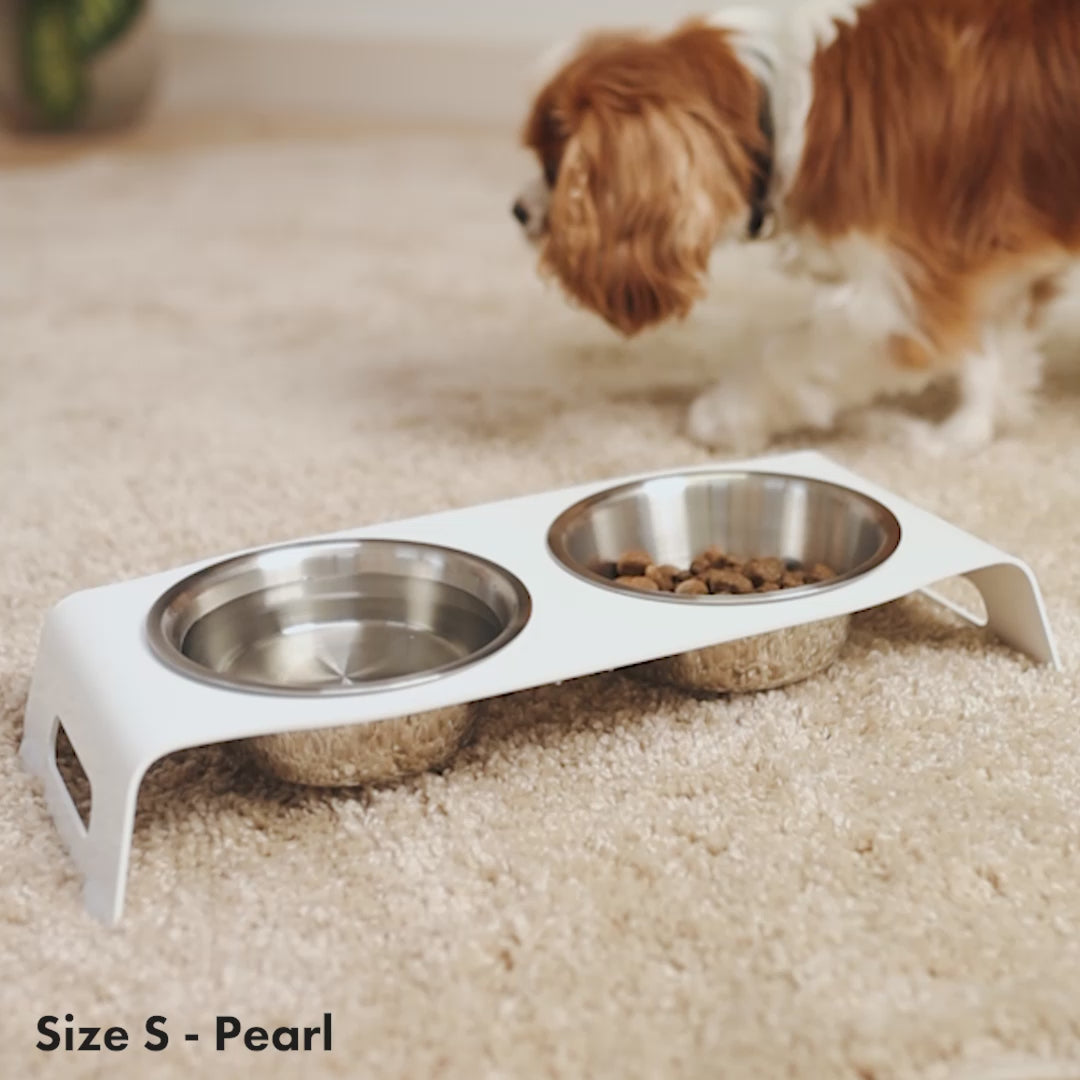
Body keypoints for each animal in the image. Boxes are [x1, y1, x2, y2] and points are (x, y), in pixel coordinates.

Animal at [512, 0, 1080, 453]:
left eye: (555, 165)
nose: (516, 210)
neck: (785, 106)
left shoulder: (903, 292)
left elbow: (791, 352)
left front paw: (723, 417)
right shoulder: (986, 261)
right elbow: (989, 356)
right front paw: (958, 438)